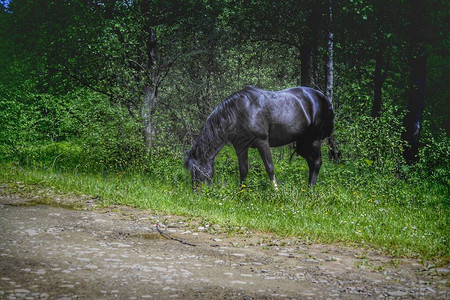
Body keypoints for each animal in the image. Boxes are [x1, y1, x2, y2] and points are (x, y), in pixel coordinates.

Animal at [183, 85, 334, 189]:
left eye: (196, 169)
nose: (196, 192)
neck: (238, 112)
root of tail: (323, 97)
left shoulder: (262, 142)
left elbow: (269, 168)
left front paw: (276, 192)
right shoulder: (240, 147)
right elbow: (243, 170)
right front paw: (241, 193)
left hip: (315, 140)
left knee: (316, 163)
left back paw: (310, 191)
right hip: (304, 143)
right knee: (311, 163)